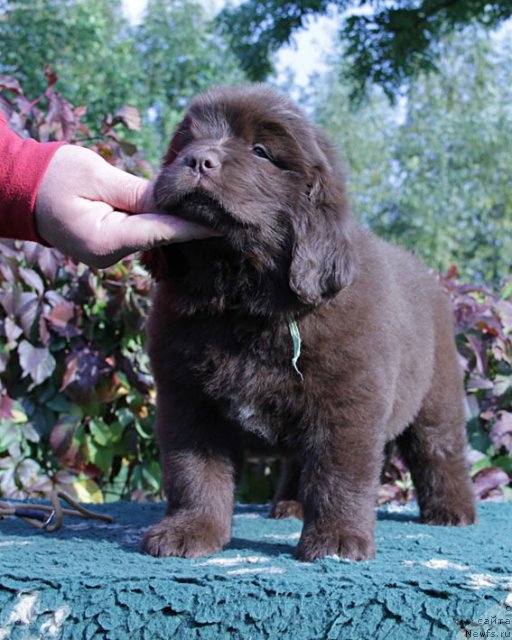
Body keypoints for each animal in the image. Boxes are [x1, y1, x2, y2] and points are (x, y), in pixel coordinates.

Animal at [141, 84, 476, 560]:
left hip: (438, 394)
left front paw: (336, 540)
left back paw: (452, 511)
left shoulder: (348, 403)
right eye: (186, 142)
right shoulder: (188, 401)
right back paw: (290, 505)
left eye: (261, 151)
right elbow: (194, 472)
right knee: (300, 461)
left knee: (439, 452)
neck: (242, 302)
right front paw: (190, 531)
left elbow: (339, 474)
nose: (198, 160)